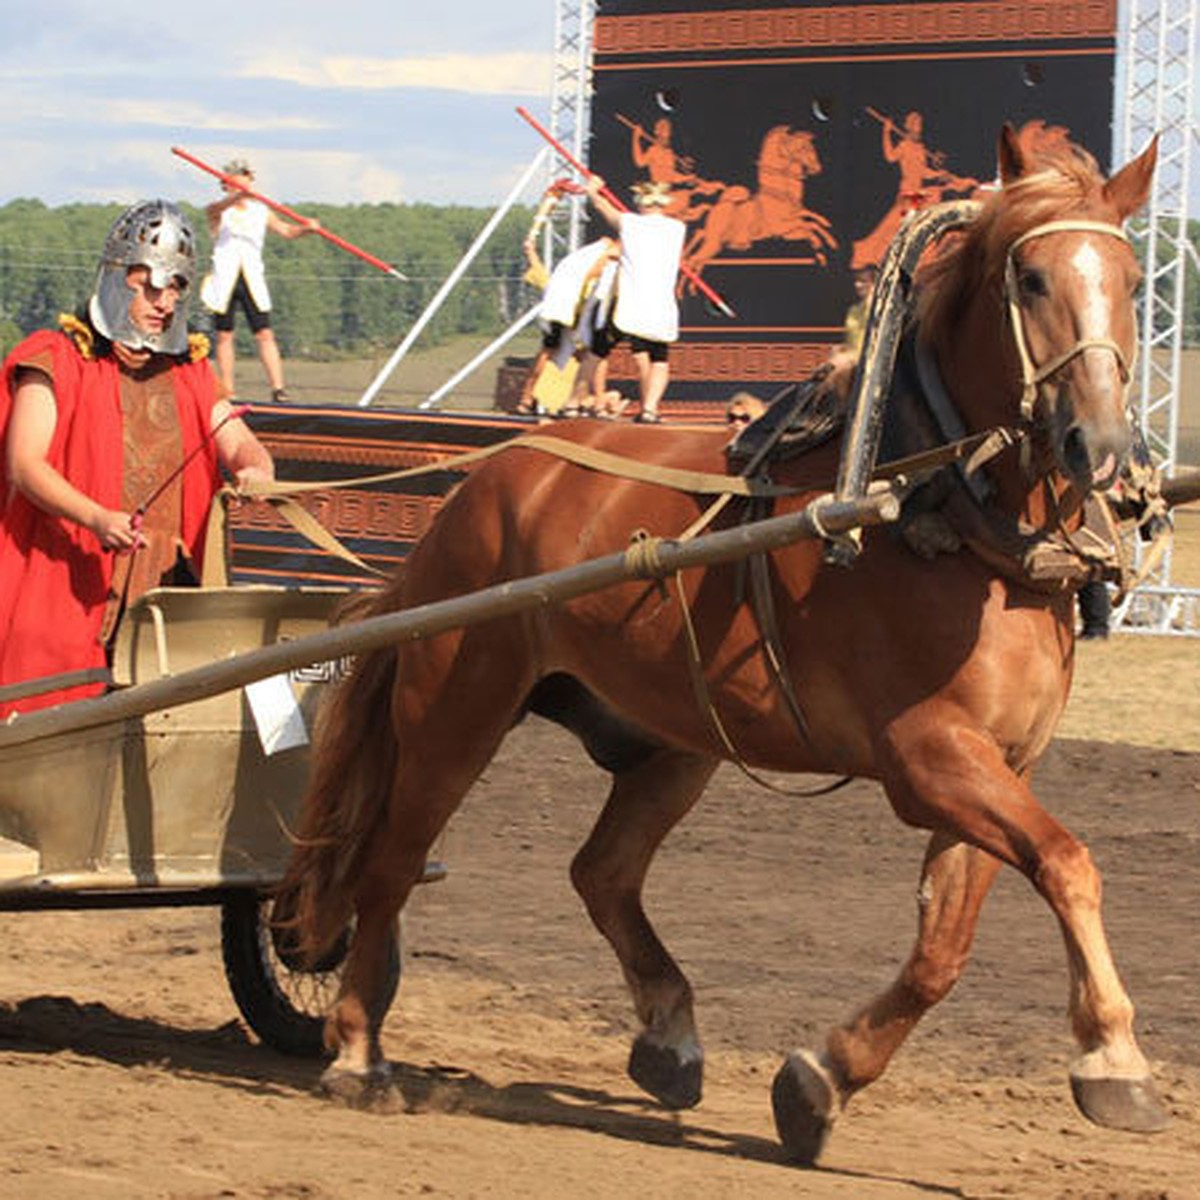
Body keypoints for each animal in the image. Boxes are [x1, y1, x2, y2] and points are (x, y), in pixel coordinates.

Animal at [280, 131, 1161, 1161]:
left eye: (1132, 280)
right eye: (1030, 276)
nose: (1099, 442)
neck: (935, 508)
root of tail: (481, 486)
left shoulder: (1000, 764)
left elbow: (945, 949)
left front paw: (822, 1080)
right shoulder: (929, 757)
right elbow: (1068, 862)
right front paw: (1115, 1057)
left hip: (672, 740)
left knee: (603, 872)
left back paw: (667, 1033)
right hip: (456, 709)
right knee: (387, 863)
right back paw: (357, 1050)